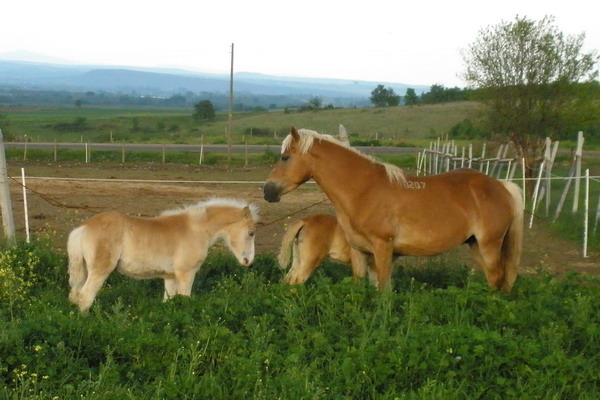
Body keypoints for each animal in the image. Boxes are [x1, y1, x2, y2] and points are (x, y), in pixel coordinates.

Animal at [68, 198, 260, 312]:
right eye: (251, 233)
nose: (249, 262)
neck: (195, 230)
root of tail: (84, 227)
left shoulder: (170, 276)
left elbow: (169, 301)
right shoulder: (186, 274)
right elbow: (185, 299)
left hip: (84, 270)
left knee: (75, 296)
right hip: (100, 270)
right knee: (85, 297)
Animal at [264, 127, 524, 290]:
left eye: (285, 157)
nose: (267, 190)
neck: (365, 190)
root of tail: (501, 185)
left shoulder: (383, 249)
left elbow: (383, 293)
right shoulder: (360, 252)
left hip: (489, 245)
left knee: (497, 279)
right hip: (476, 245)